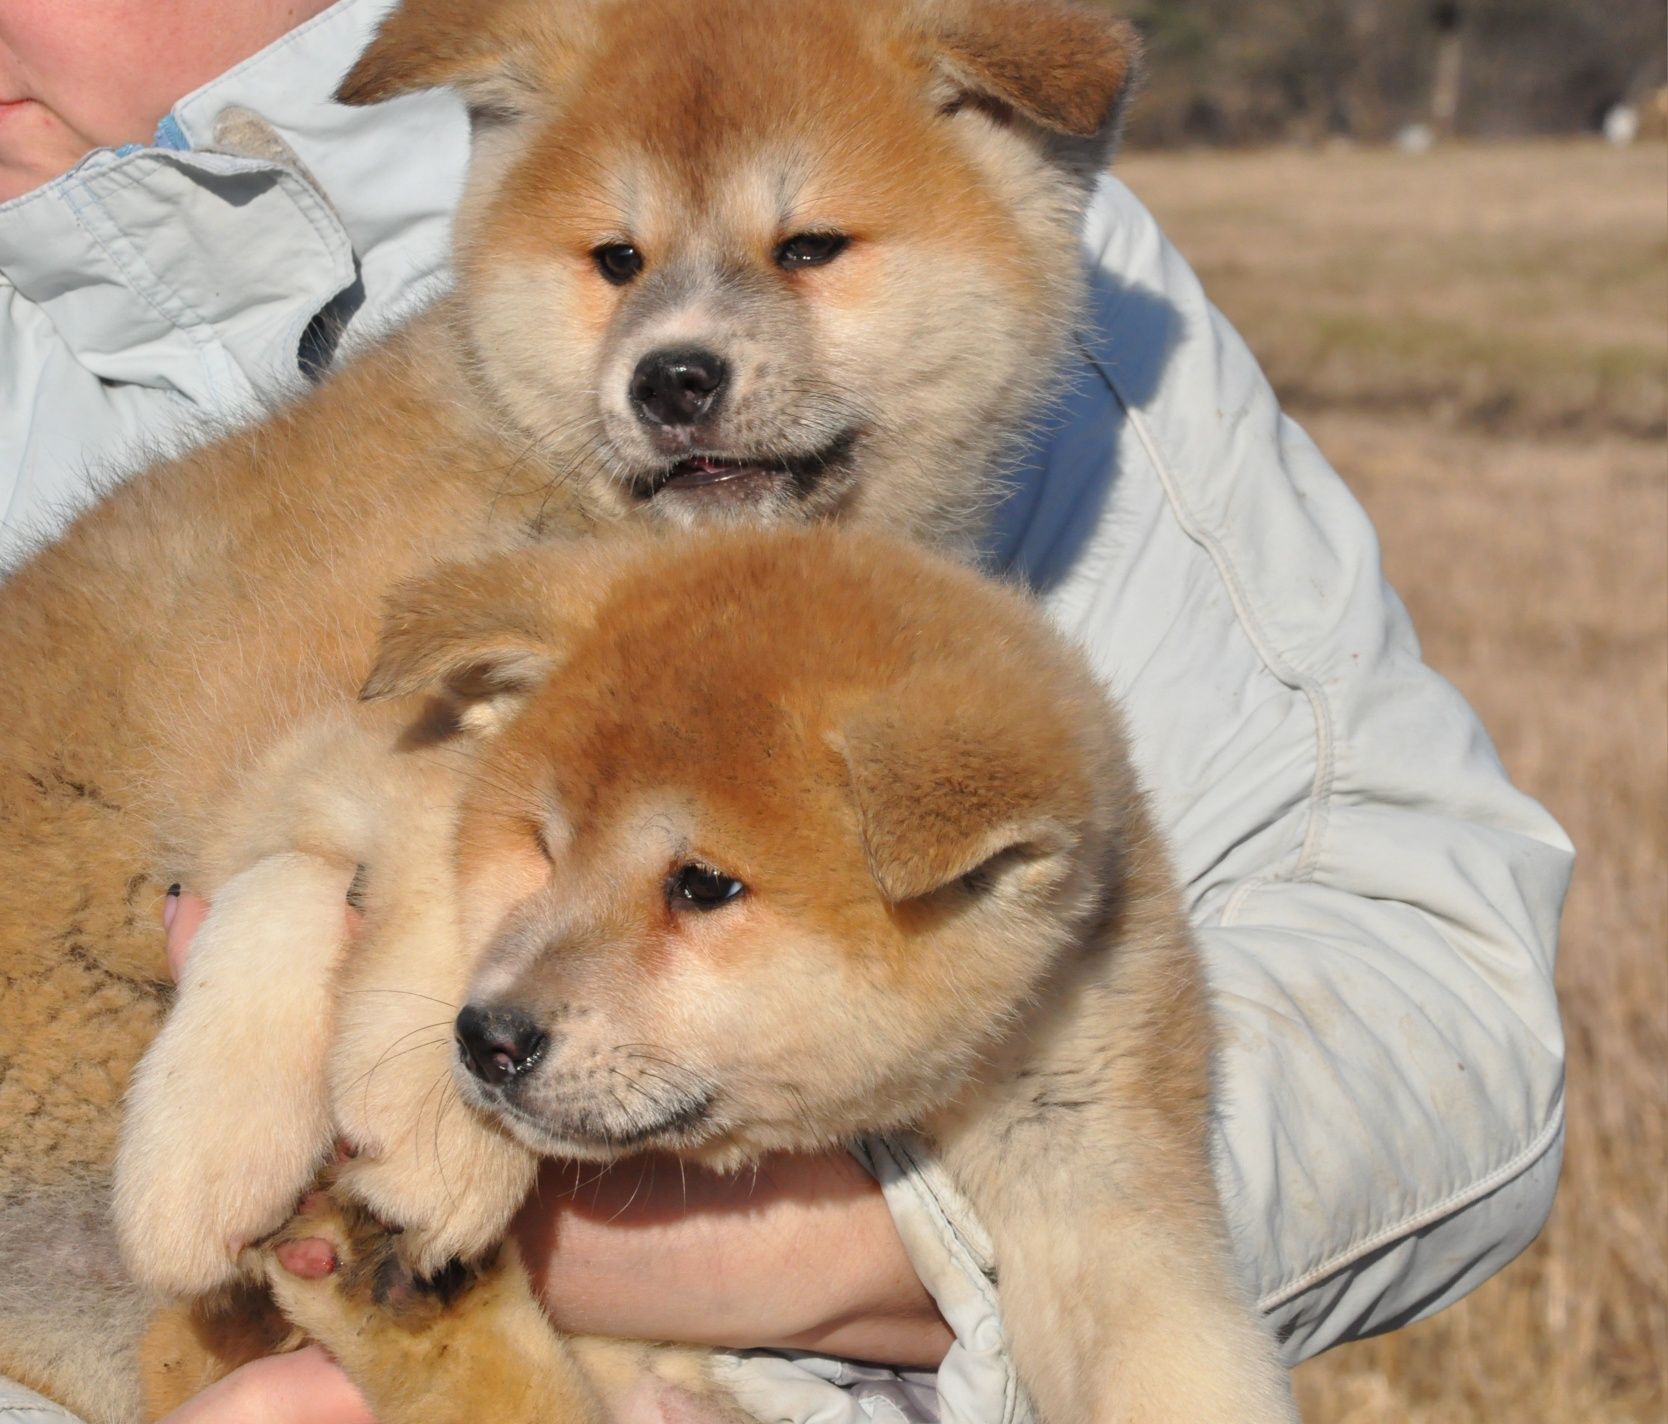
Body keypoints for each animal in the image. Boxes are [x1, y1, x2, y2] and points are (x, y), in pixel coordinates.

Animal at [0, 5, 1140, 1420]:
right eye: (617, 258)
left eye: (809, 247)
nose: (673, 378)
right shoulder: (319, 741)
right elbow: (416, 855)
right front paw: (386, 1127)